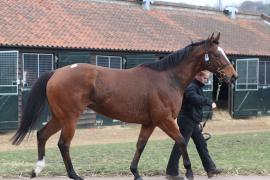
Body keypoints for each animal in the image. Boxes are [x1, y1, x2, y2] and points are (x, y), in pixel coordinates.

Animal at [11, 32, 237, 180]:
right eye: (217, 54)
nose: (233, 76)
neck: (167, 78)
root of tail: (56, 73)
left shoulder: (149, 123)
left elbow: (140, 146)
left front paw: (135, 173)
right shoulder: (165, 120)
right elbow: (182, 141)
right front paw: (189, 172)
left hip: (60, 117)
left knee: (42, 135)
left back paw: (36, 170)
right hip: (69, 118)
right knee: (63, 144)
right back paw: (74, 175)